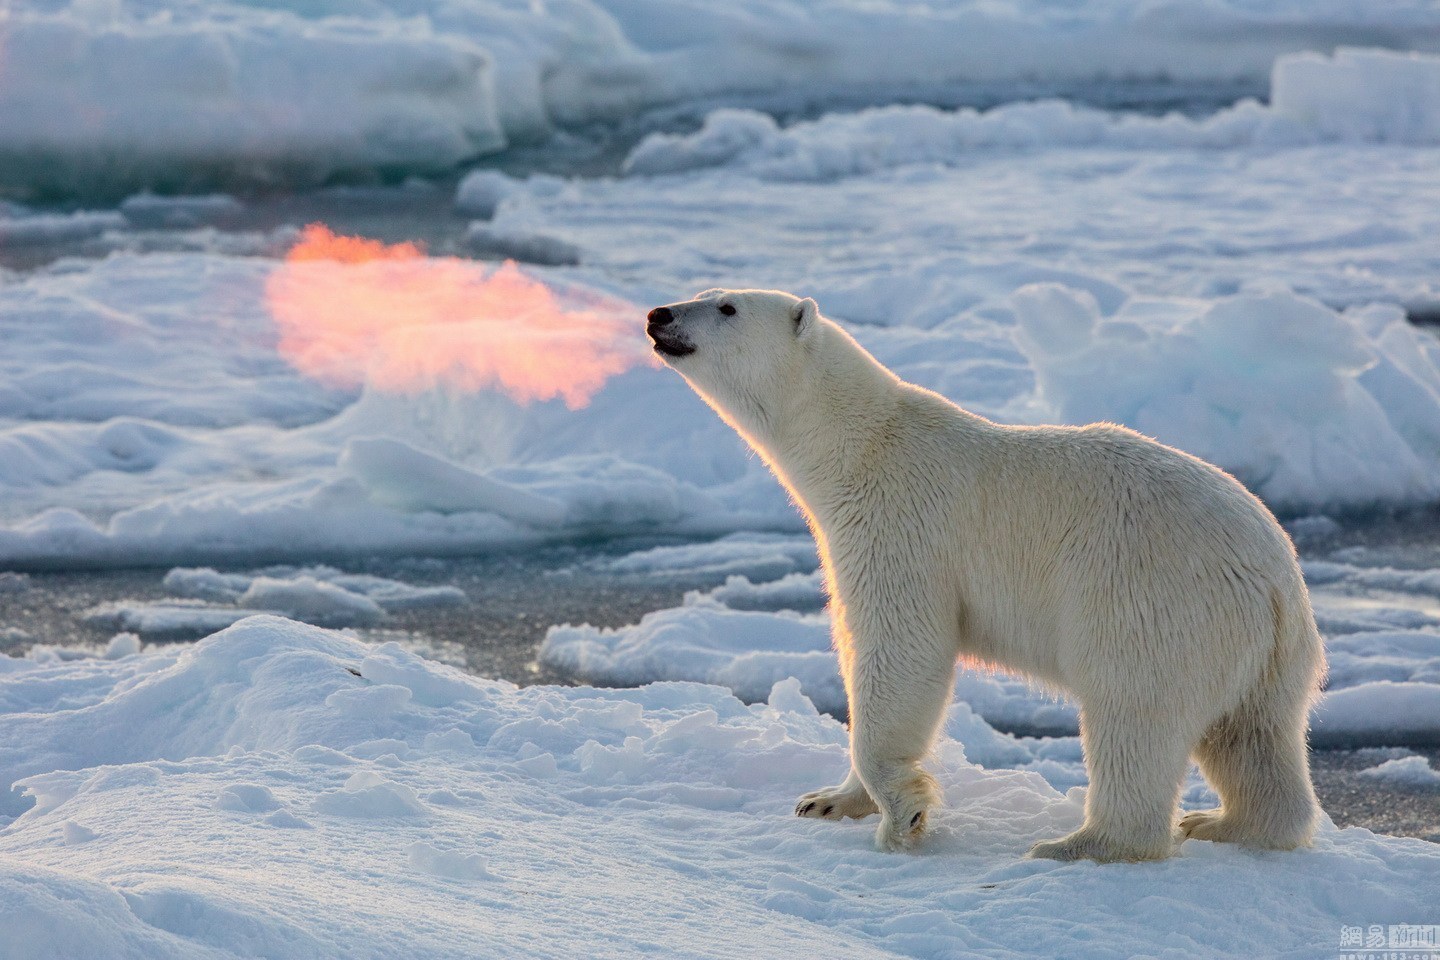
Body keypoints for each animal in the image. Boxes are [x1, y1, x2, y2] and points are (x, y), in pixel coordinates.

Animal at [648, 287, 1319, 863]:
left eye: (726, 307)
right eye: (703, 291)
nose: (658, 315)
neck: (859, 446)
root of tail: (1274, 580)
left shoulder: (900, 525)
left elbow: (902, 649)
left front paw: (903, 816)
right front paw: (826, 800)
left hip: (1153, 602)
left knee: (1134, 717)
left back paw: (1080, 843)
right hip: (1263, 656)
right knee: (1252, 737)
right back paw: (1225, 823)